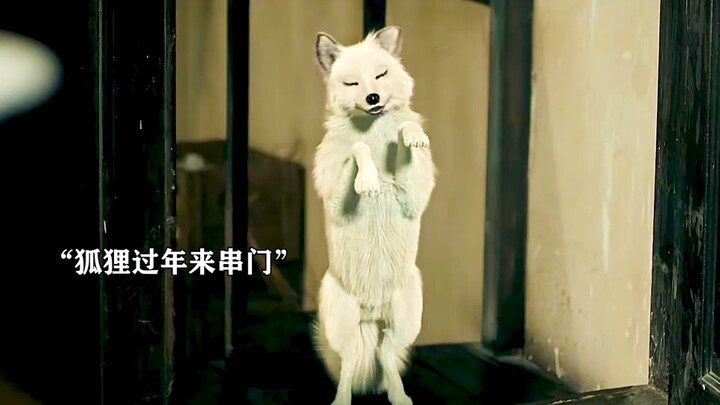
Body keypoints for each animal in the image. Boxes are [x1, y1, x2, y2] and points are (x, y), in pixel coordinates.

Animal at [310, 26, 437, 405]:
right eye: (352, 82)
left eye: (381, 74)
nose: (372, 97)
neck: (374, 129)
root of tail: (372, 311)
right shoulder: (336, 195)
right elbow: (357, 147)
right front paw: (367, 180)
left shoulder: (412, 196)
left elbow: (405, 135)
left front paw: (413, 135)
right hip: (342, 326)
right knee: (351, 363)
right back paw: (342, 400)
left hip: (406, 322)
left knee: (386, 354)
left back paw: (399, 397)